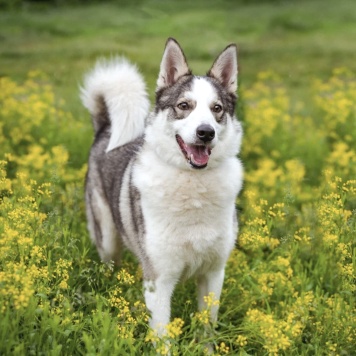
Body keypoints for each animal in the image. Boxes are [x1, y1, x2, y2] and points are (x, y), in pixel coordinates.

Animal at [81, 37, 242, 336]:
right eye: (184, 105)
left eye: (217, 109)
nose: (206, 133)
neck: (192, 184)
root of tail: (105, 128)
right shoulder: (159, 280)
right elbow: (162, 335)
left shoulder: (213, 274)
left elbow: (206, 328)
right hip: (107, 239)